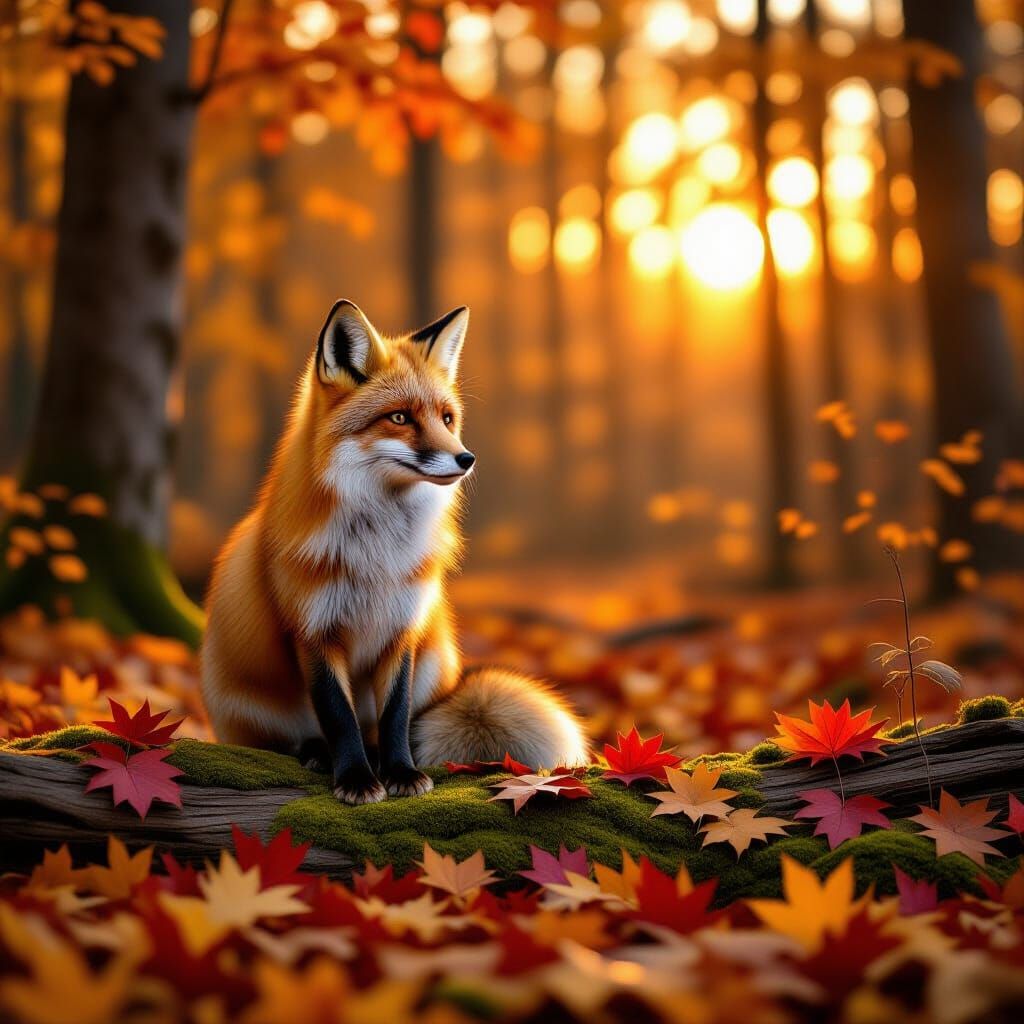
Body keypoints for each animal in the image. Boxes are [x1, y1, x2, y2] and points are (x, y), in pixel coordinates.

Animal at [201, 299, 589, 804]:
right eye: (400, 418)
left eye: (447, 419)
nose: (467, 458)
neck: (376, 557)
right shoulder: (313, 632)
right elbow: (338, 716)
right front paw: (356, 778)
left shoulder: (402, 628)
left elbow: (396, 716)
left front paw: (400, 772)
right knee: (293, 736)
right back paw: (317, 752)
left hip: (435, 657)